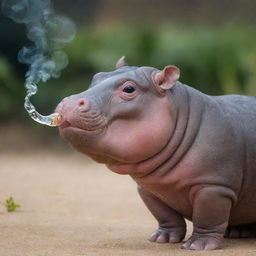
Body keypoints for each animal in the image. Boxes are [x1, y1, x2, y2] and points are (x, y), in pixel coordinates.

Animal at [56, 57, 256, 250]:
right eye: (96, 77)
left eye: (129, 88)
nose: (69, 102)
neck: (183, 114)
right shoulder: (149, 189)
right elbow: (165, 215)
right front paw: (162, 238)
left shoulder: (214, 187)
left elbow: (207, 217)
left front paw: (198, 245)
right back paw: (237, 232)